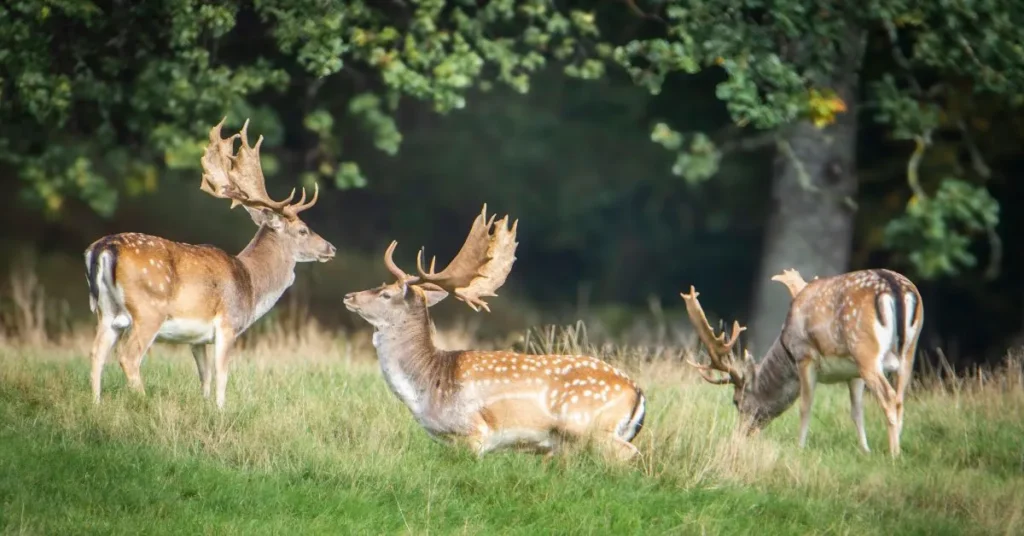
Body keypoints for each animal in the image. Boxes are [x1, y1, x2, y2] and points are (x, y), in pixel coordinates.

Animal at [84, 118, 336, 409]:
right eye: (303, 230)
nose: (330, 248)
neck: (251, 285)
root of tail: (103, 247)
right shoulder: (228, 324)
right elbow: (222, 375)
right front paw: (220, 409)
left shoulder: (197, 339)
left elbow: (204, 375)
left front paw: (205, 406)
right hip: (148, 310)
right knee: (128, 356)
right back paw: (143, 402)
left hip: (107, 312)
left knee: (96, 353)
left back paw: (96, 405)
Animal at [343, 205, 647, 461]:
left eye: (385, 293)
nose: (349, 296)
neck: (428, 387)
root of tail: (637, 392)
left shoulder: (474, 432)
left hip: (588, 425)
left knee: (629, 454)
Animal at [681, 268, 923, 457]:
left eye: (736, 402)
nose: (741, 434)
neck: (786, 347)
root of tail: (894, 286)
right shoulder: (853, 373)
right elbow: (857, 412)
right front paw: (865, 450)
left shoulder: (805, 356)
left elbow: (805, 406)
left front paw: (800, 447)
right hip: (907, 352)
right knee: (900, 398)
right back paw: (898, 448)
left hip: (865, 349)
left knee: (889, 397)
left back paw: (894, 454)